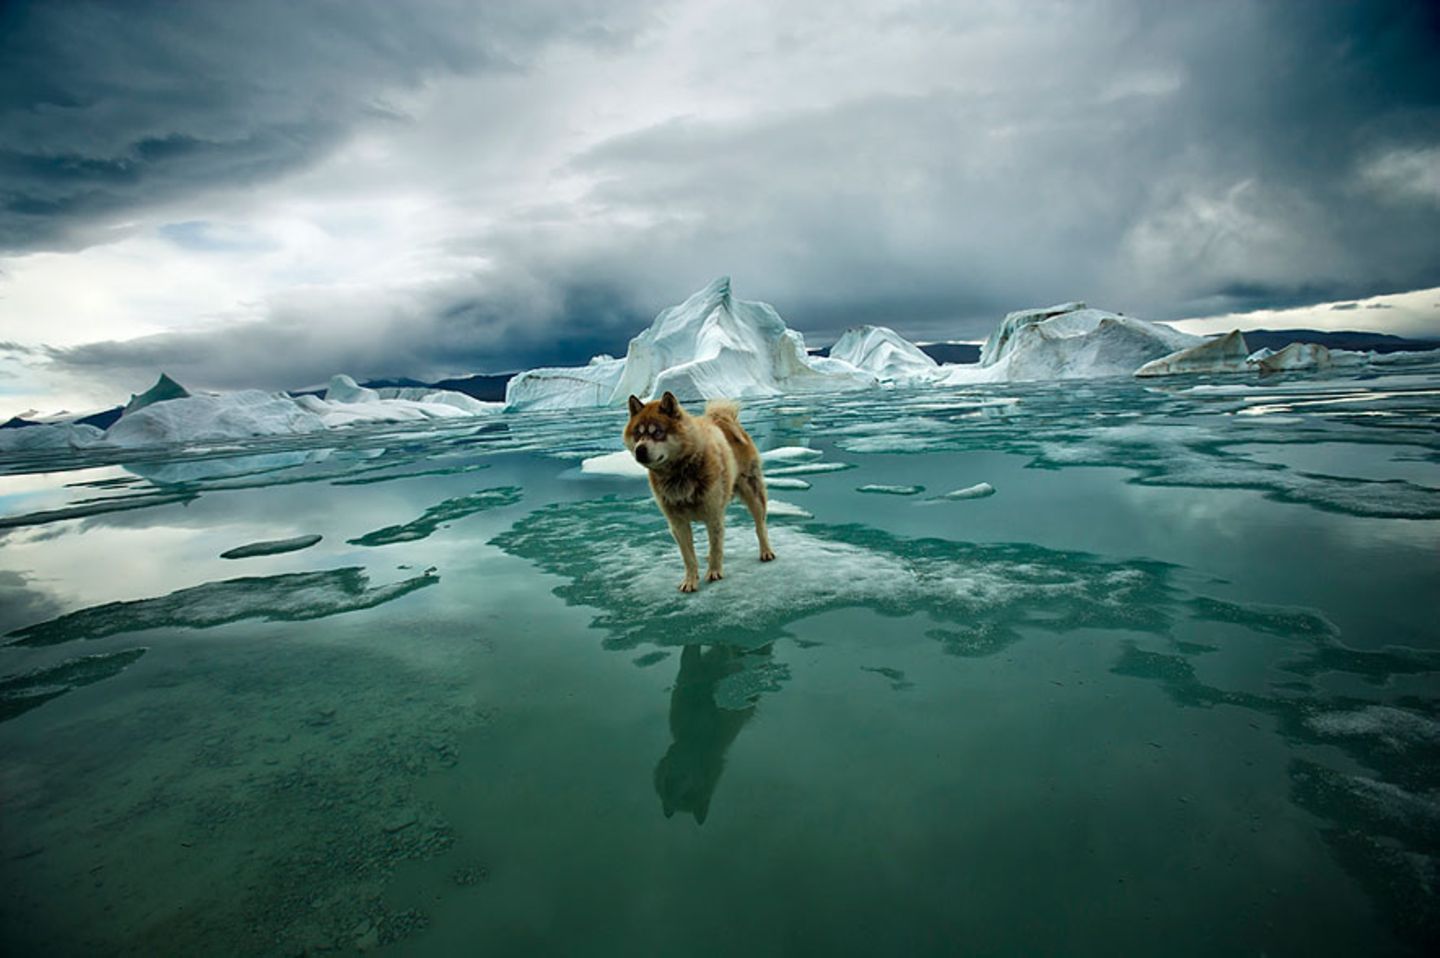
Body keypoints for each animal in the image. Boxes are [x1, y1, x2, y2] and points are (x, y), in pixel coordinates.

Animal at [622, 391, 777, 590]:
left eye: (657, 432)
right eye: (638, 433)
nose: (639, 450)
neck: (679, 472)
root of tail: (727, 421)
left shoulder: (713, 515)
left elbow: (716, 547)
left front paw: (714, 572)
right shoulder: (678, 523)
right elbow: (689, 556)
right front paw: (690, 581)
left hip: (753, 494)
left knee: (760, 527)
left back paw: (766, 551)